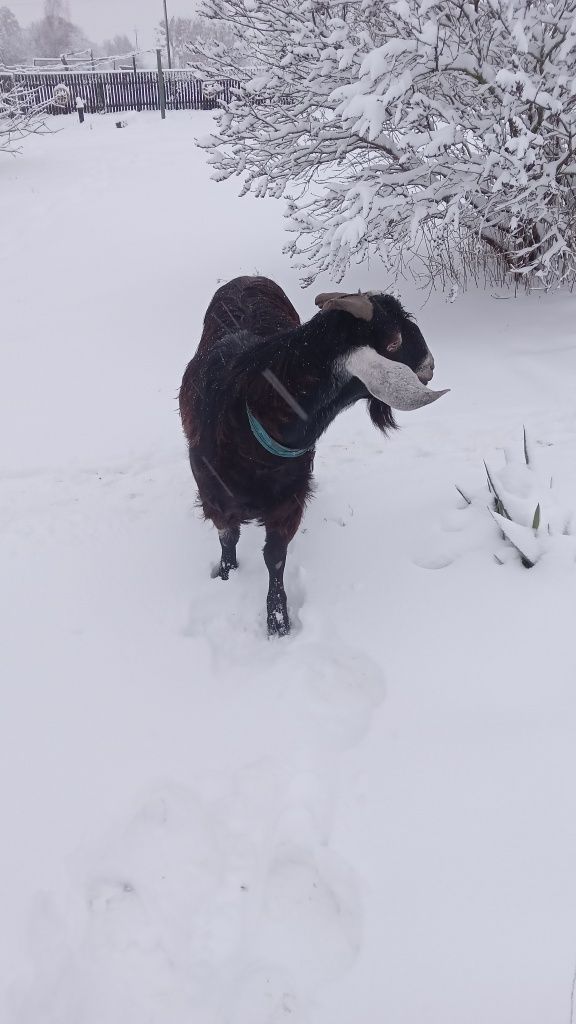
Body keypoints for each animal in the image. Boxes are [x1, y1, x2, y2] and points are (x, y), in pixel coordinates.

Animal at [177, 276, 446, 634]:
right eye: (393, 343)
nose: (430, 365)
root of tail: (250, 276)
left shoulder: (290, 500)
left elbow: (275, 556)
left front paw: (278, 619)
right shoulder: (215, 496)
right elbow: (228, 538)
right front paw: (226, 575)